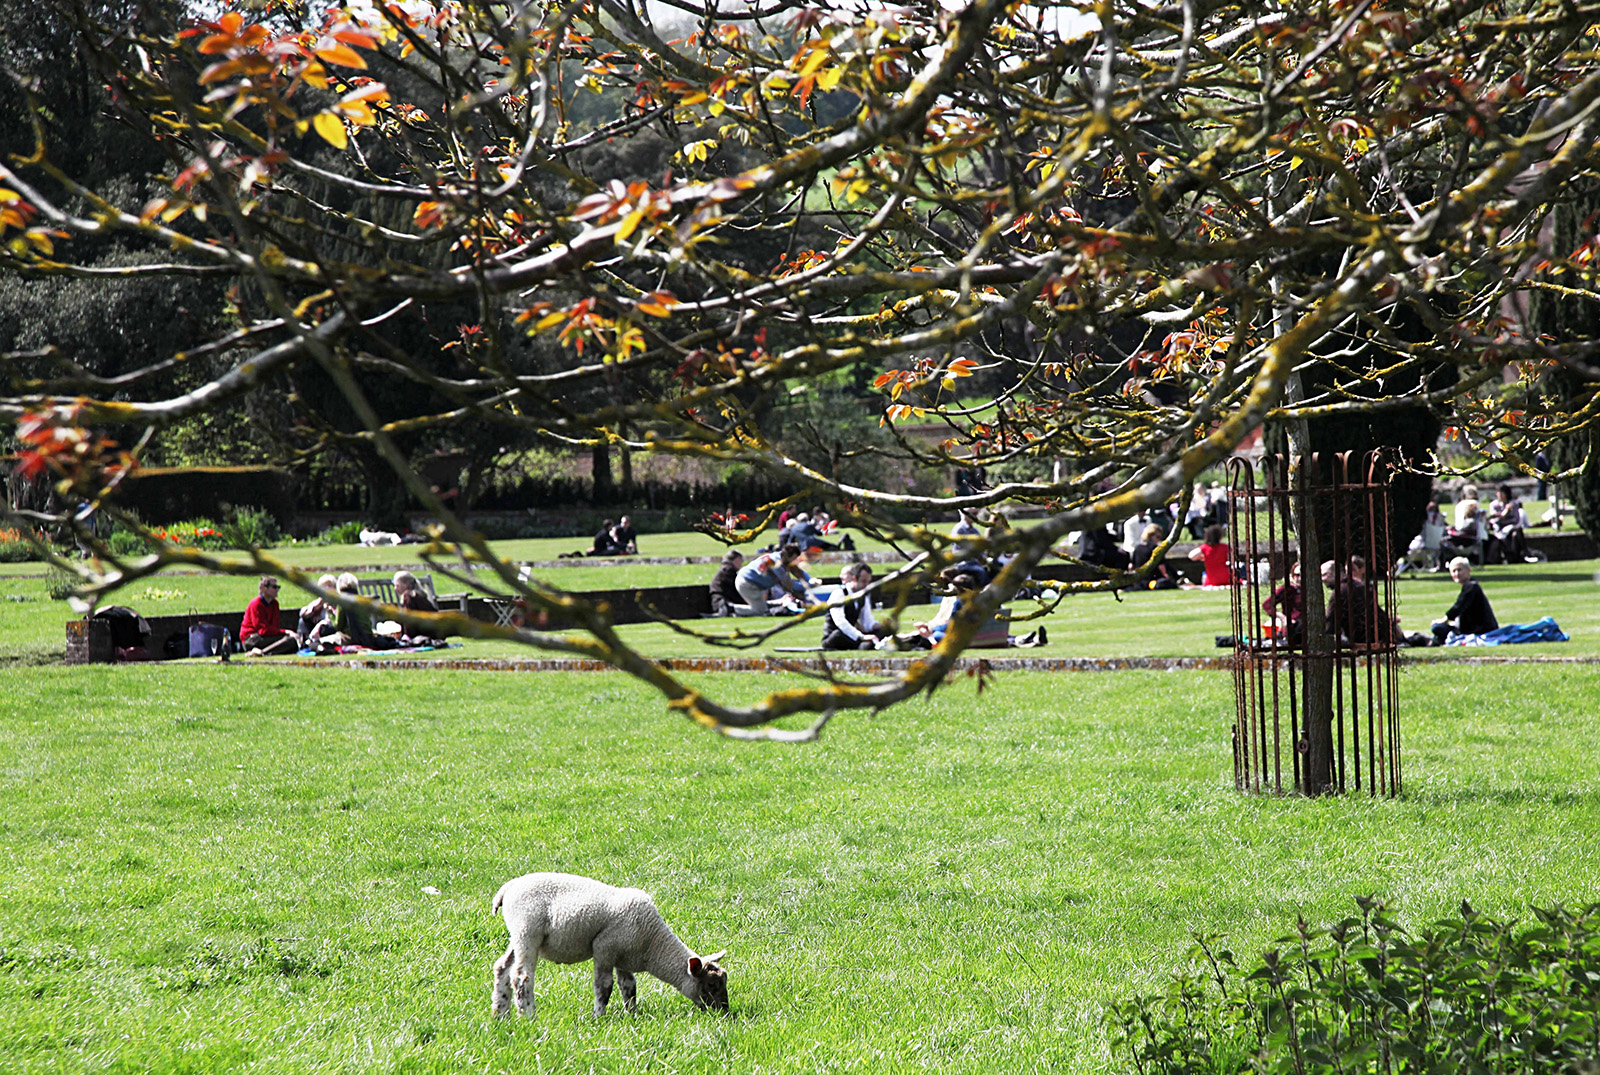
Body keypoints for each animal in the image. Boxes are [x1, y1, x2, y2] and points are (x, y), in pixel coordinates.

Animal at [486, 870, 732, 1017]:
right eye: (711, 985)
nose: (724, 1012)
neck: (652, 942)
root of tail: (507, 889)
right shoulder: (604, 948)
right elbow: (604, 986)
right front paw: (598, 1016)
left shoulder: (623, 957)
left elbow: (629, 987)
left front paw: (632, 1015)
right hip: (527, 931)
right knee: (521, 977)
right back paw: (528, 1015)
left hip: (517, 935)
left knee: (502, 968)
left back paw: (500, 1013)